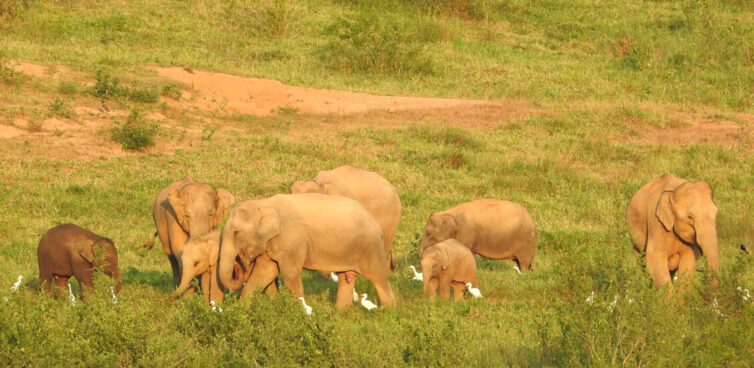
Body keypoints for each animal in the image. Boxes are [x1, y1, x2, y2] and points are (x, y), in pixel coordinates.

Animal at [216, 193, 396, 308]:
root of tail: (375, 222)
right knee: (346, 278)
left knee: (378, 277)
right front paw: (243, 309)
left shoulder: (293, 241)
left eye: (236, 233)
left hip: (371, 248)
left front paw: (299, 311)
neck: (265, 203)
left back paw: (387, 311)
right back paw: (340, 312)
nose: (239, 263)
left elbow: (290, 275)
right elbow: (266, 271)